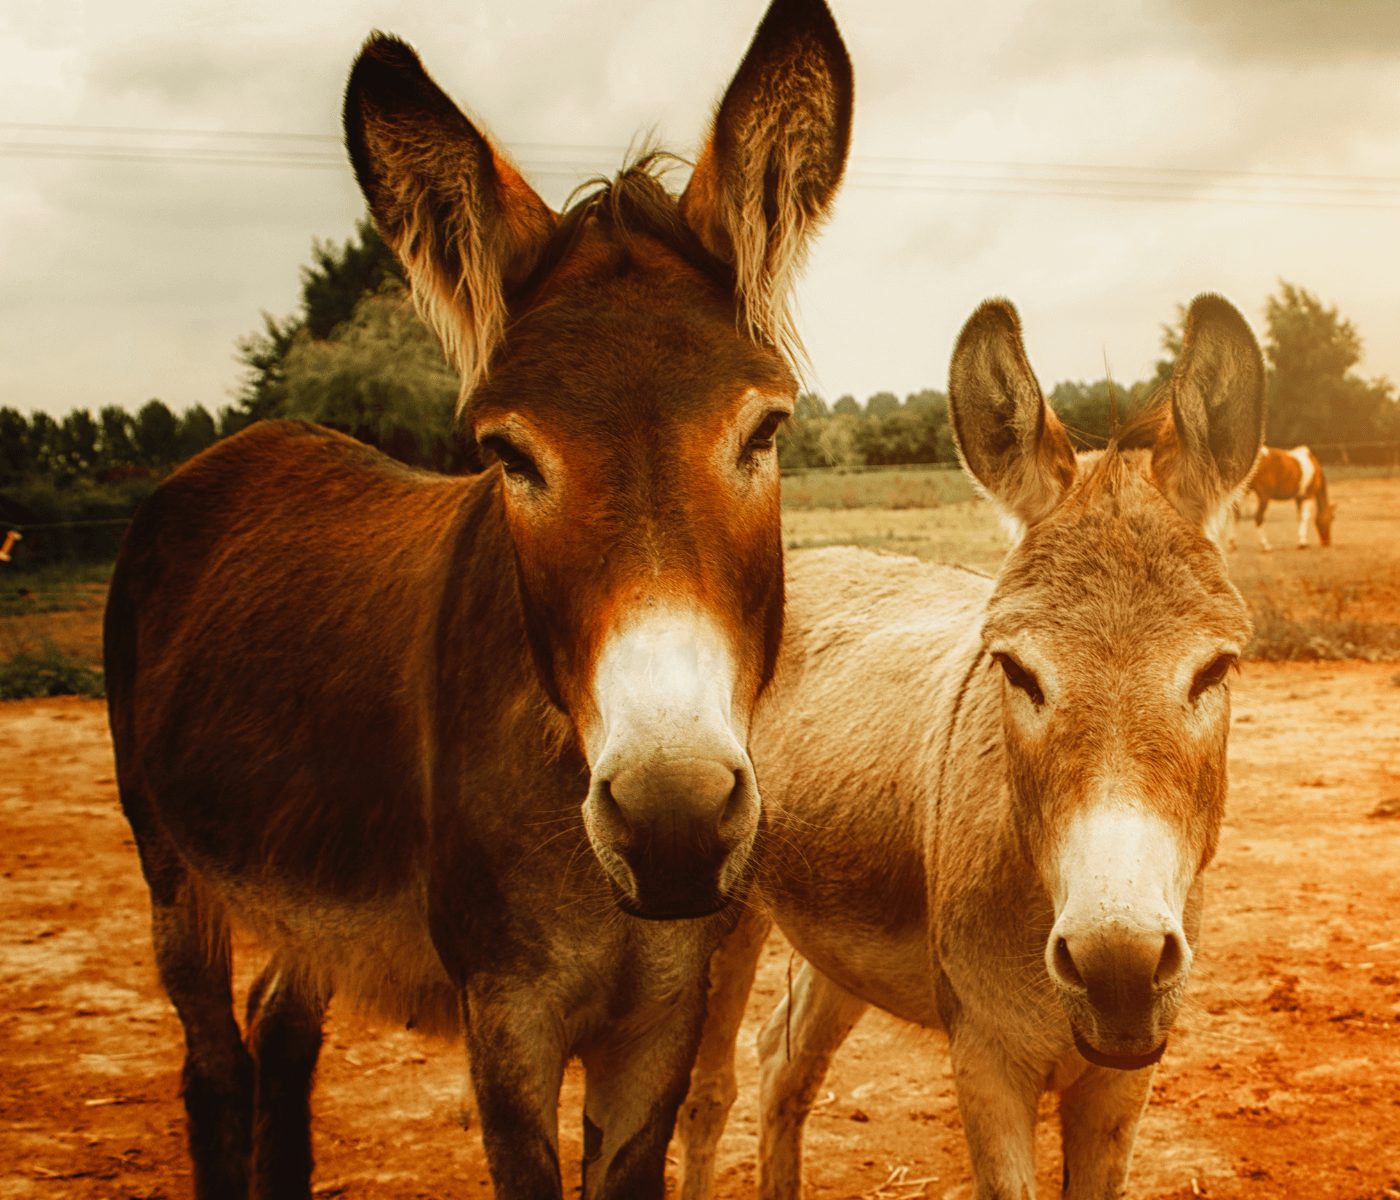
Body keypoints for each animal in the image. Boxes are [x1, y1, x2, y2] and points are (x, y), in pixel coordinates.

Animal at [101, 4, 851, 1192]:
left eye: (764, 429)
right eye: (507, 454)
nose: (673, 819)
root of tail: (241, 447)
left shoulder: (661, 1022)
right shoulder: (508, 1020)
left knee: (279, 1023)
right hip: (173, 869)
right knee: (211, 1062)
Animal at [672, 292, 1265, 1198]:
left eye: (1215, 669)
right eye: (1015, 670)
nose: (1117, 969)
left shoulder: (1121, 1083)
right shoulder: (985, 1064)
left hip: (837, 936)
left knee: (783, 1062)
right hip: (727, 910)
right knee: (711, 1093)